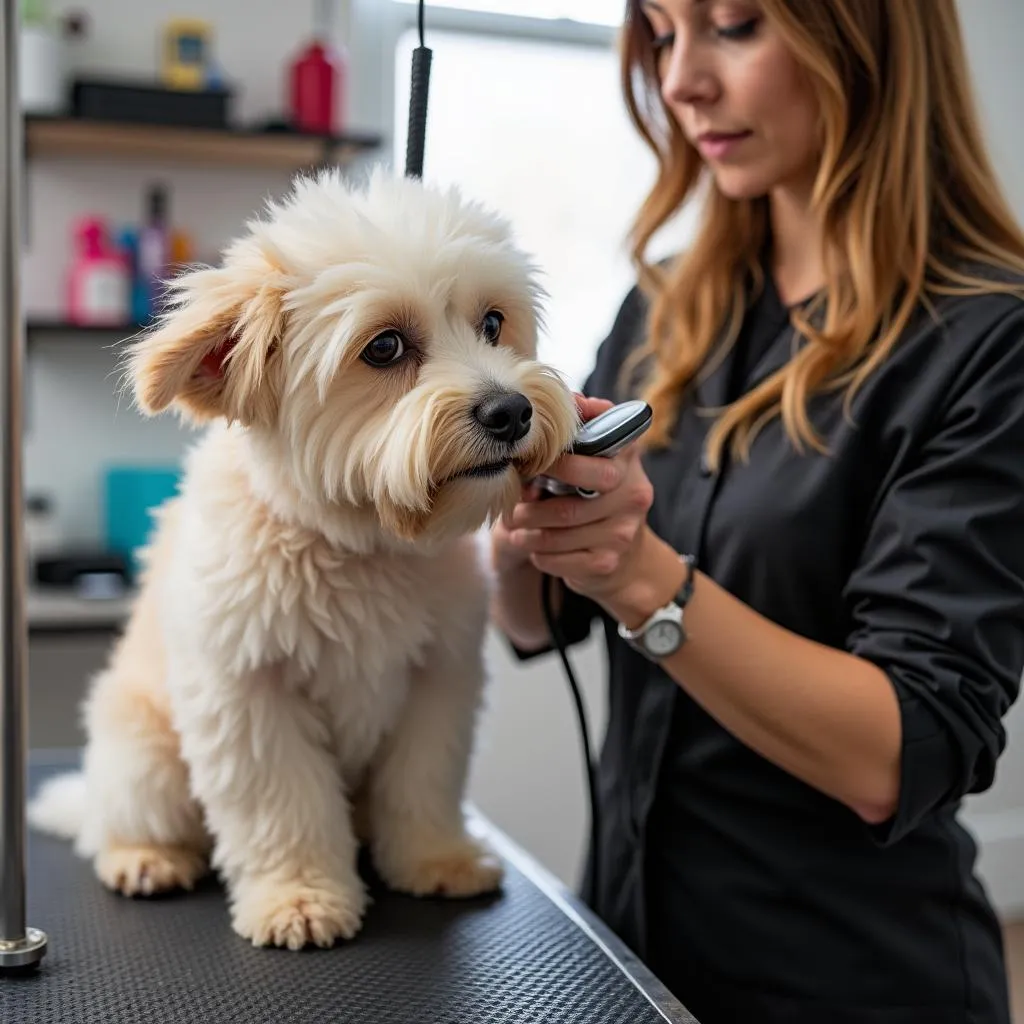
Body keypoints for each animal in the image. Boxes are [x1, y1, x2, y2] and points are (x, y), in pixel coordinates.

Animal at [28, 167, 581, 950]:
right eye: (385, 348)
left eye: (493, 324)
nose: (510, 412)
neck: (359, 543)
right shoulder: (249, 696)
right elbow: (281, 806)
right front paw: (300, 897)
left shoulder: (438, 681)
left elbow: (424, 780)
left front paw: (434, 858)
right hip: (143, 755)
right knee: (118, 823)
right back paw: (145, 857)